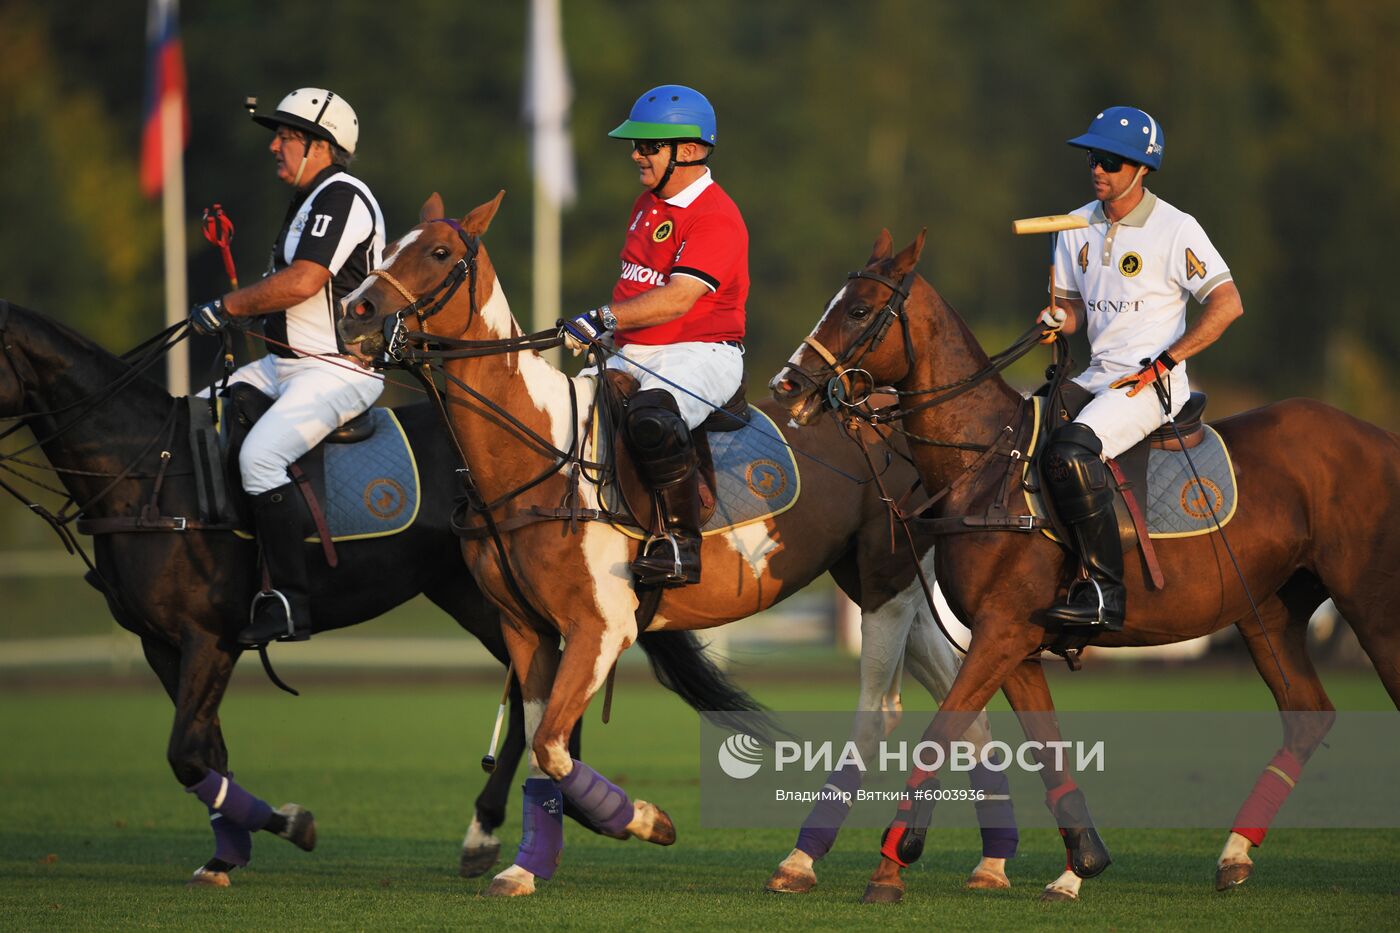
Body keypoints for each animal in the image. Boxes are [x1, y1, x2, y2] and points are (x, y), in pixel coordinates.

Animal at [0, 299, 772, 885]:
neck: (152, 469)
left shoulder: (208, 636)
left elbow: (188, 752)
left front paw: (290, 823)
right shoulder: (160, 642)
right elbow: (205, 752)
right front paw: (227, 853)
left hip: (496, 597)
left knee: (545, 708)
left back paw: (520, 827)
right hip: (475, 596)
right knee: (543, 706)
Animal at [336, 194, 1030, 896]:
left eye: (439, 253)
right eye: (385, 247)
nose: (354, 311)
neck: (537, 453)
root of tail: (883, 410)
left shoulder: (601, 626)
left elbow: (553, 745)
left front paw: (647, 821)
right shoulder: (524, 627)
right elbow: (539, 746)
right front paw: (525, 867)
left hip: (886, 578)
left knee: (880, 711)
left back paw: (804, 859)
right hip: (876, 581)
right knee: (961, 702)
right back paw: (985, 858)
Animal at [772, 226, 1400, 902]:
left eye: (860, 310)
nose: (787, 385)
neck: (985, 462)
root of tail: (1383, 439)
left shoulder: (1000, 633)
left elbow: (939, 735)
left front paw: (891, 863)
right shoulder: (1018, 644)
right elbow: (1046, 750)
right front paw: (1080, 864)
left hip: (1372, 606)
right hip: (1269, 612)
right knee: (1308, 716)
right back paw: (1234, 855)